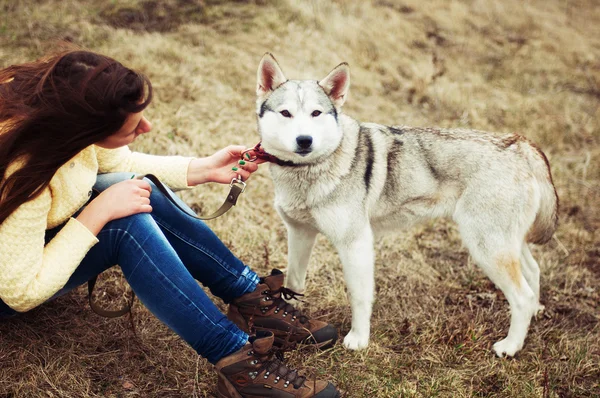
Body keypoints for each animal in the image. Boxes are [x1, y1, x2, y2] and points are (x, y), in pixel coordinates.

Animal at [253, 53, 556, 358]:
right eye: (286, 113)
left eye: (316, 113)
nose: (305, 141)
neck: (311, 170)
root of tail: (519, 143)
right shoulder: (300, 234)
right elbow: (294, 281)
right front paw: (290, 315)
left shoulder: (356, 243)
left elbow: (359, 296)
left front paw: (359, 340)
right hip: (505, 243)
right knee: (533, 273)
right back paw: (536, 313)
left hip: (486, 247)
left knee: (522, 296)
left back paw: (511, 346)